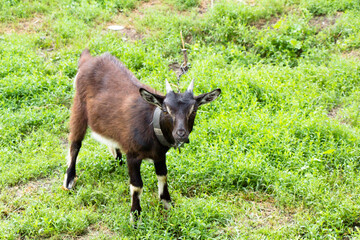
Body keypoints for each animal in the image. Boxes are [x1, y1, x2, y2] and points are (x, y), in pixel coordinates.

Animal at [64, 49, 222, 223]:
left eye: (193, 110)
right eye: (166, 110)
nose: (181, 133)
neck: (152, 126)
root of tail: (88, 59)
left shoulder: (160, 155)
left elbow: (163, 176)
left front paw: (168, 205)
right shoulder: (133, 156)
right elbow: (137, 185)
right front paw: (135, 217)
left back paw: (117, 158)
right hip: (79, 107)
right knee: (75, 143)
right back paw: (69, 180)